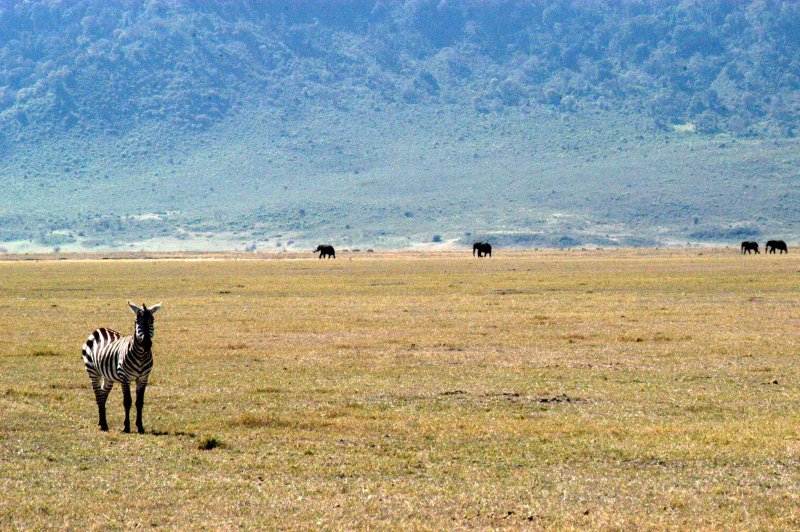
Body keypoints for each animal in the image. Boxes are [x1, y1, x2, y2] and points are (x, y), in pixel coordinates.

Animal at [82, 304, 162, 432]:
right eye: (137, 321)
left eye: (152, 321)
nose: (146, 344)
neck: (141, 356)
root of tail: (99, 329)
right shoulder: (124, 377)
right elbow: (127, 402)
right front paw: (126, 427)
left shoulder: (143, 378)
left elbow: (139, 402)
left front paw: (140, 427)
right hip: (92, 371)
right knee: (98, 394)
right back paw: (103, 425)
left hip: (108, 377)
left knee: (103, 394)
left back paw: (102, 422)